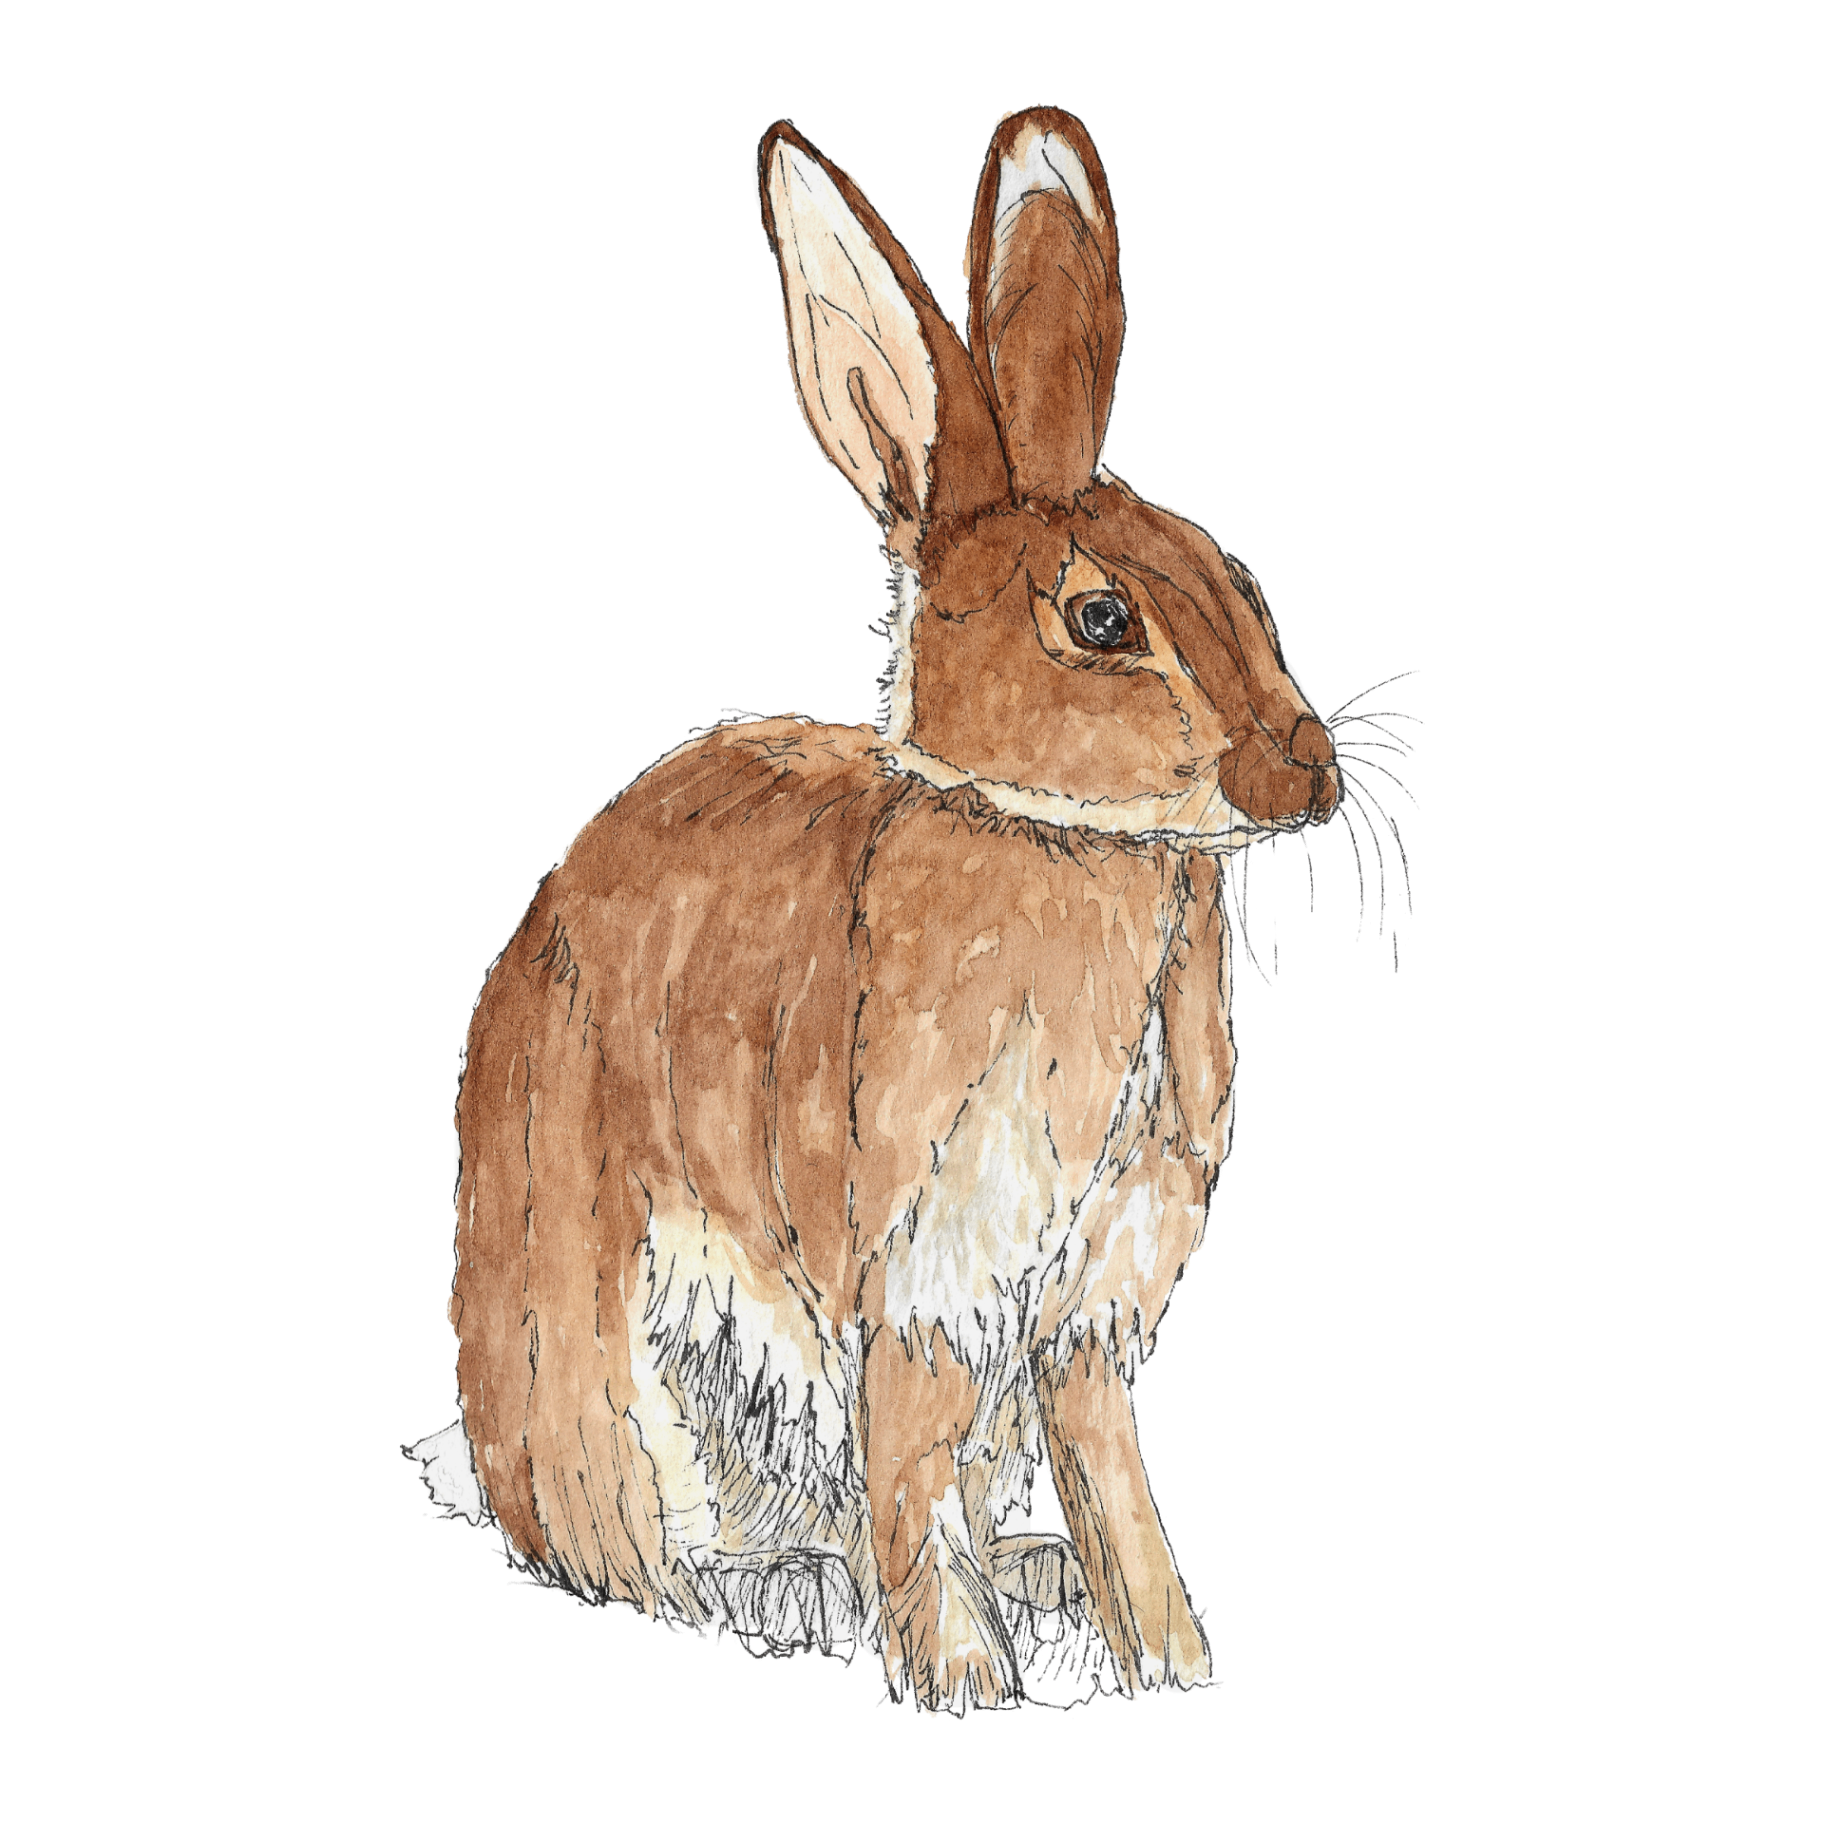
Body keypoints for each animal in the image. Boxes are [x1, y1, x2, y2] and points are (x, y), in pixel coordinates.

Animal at [414, 106, 1349, 1714]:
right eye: (1102, 620)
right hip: (609, 1359)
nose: (1308, 772)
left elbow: (1109, 1473)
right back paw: (796, 1592)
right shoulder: (918, 1268)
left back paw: (1023, 1579)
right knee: (631, 1547)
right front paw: (961, 1678)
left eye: (1235, 575)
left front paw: (1164, 1653)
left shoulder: (1087, 1308)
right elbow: (907, 1460)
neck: (1052, 844)